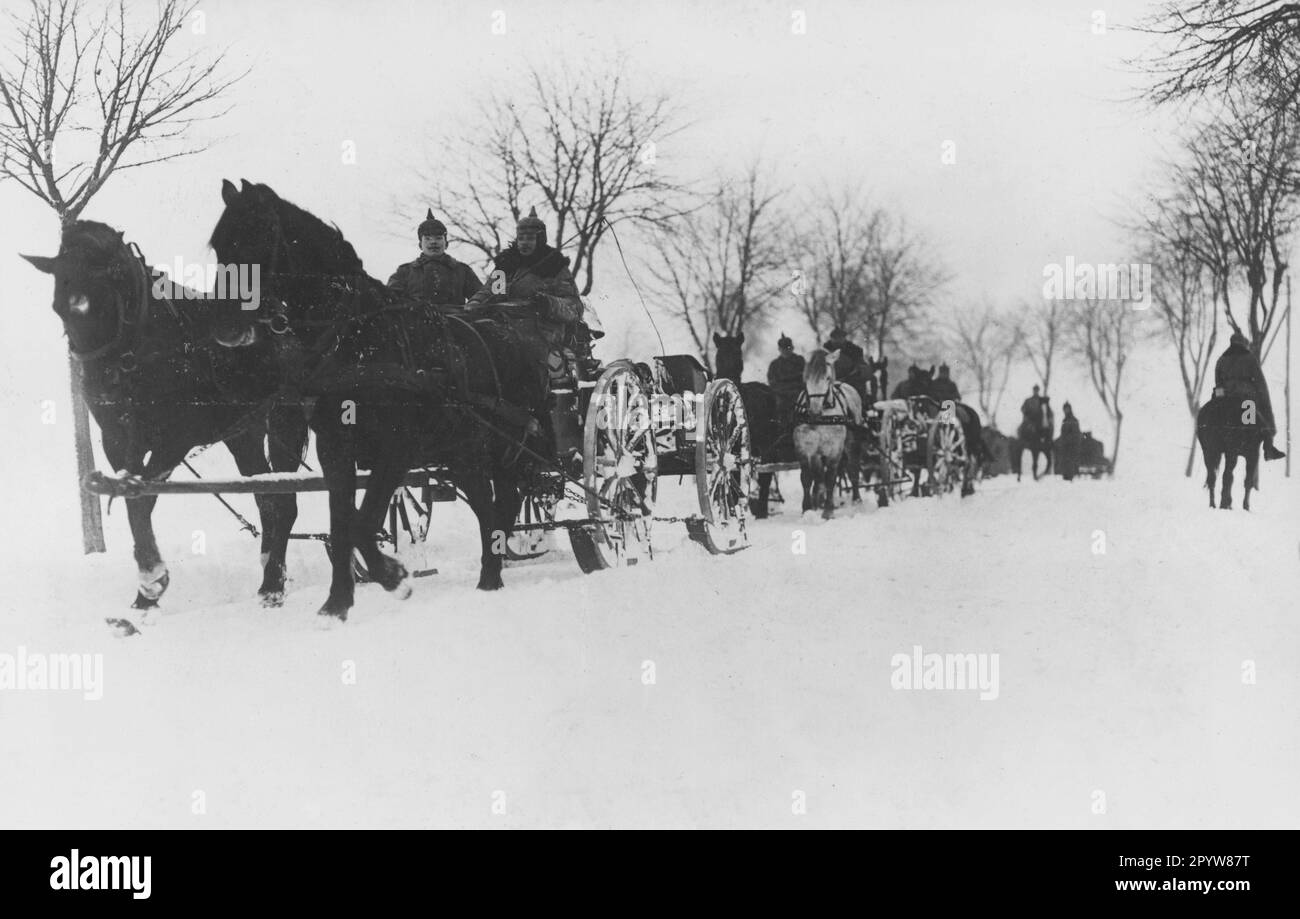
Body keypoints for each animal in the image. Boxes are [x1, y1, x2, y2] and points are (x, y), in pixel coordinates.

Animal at [23, 222, 309, 626]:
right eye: (59, 308)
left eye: (108, 297)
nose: (100, 389)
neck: (147, 348)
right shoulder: (117, 439)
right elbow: (132, 496)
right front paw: (146, 594)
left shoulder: (175, 439)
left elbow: (141, 498)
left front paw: (152, 580)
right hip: (243, 434)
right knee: (266, 498)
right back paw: (270, 570)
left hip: (286, 420)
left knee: (285, 500)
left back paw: (273, 586)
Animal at [213, 179, 538, 621]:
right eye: (217, 245)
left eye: (258, 237)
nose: (224, 325)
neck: (358, 337)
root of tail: (511, 329)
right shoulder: (335, 446)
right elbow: (342, 523)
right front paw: (337, 603)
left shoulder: (397, 448)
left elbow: (361, 523)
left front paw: (393, 576)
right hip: (464, 451)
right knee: (488, 506)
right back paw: (490, 574)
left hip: (506, 449)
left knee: (505, 501)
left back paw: (493, 575)